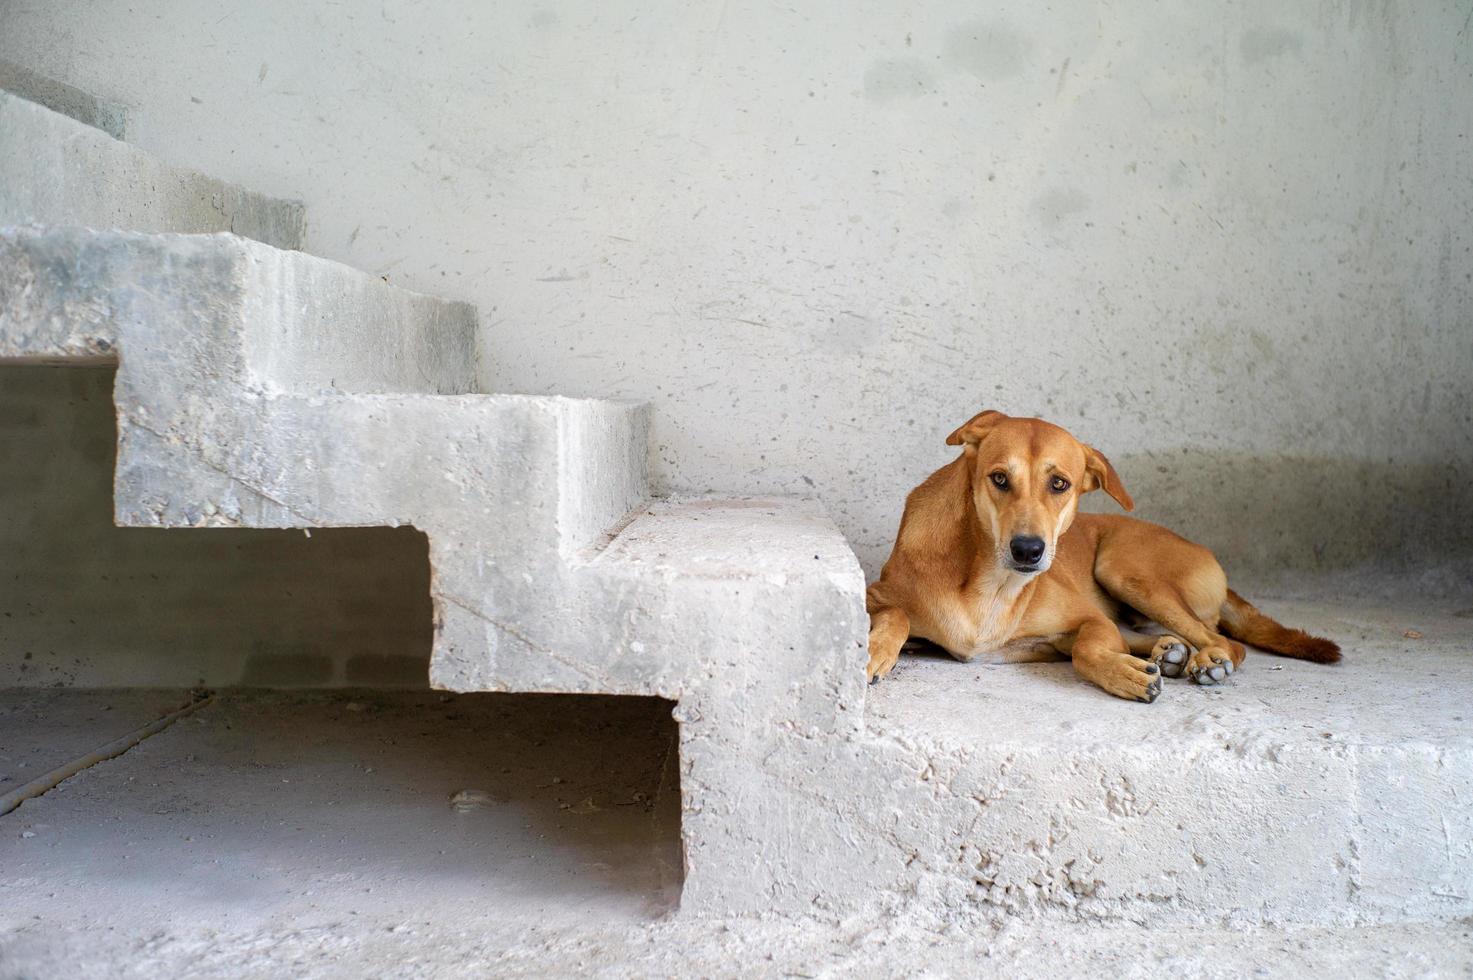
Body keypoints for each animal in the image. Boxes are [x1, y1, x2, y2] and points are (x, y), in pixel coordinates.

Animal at [866, 409, 1343, 698]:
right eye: (999, 478)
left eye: (1059, 484)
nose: (1028, 550)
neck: (989, 583)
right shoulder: (875, 596)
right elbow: (897, 614)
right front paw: (873, 650)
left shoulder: (1087, 620)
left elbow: (1086, 648)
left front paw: (1121, 674)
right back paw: (1168, 653)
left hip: (1123, 569)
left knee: (1224, 642)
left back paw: (1206, 662)